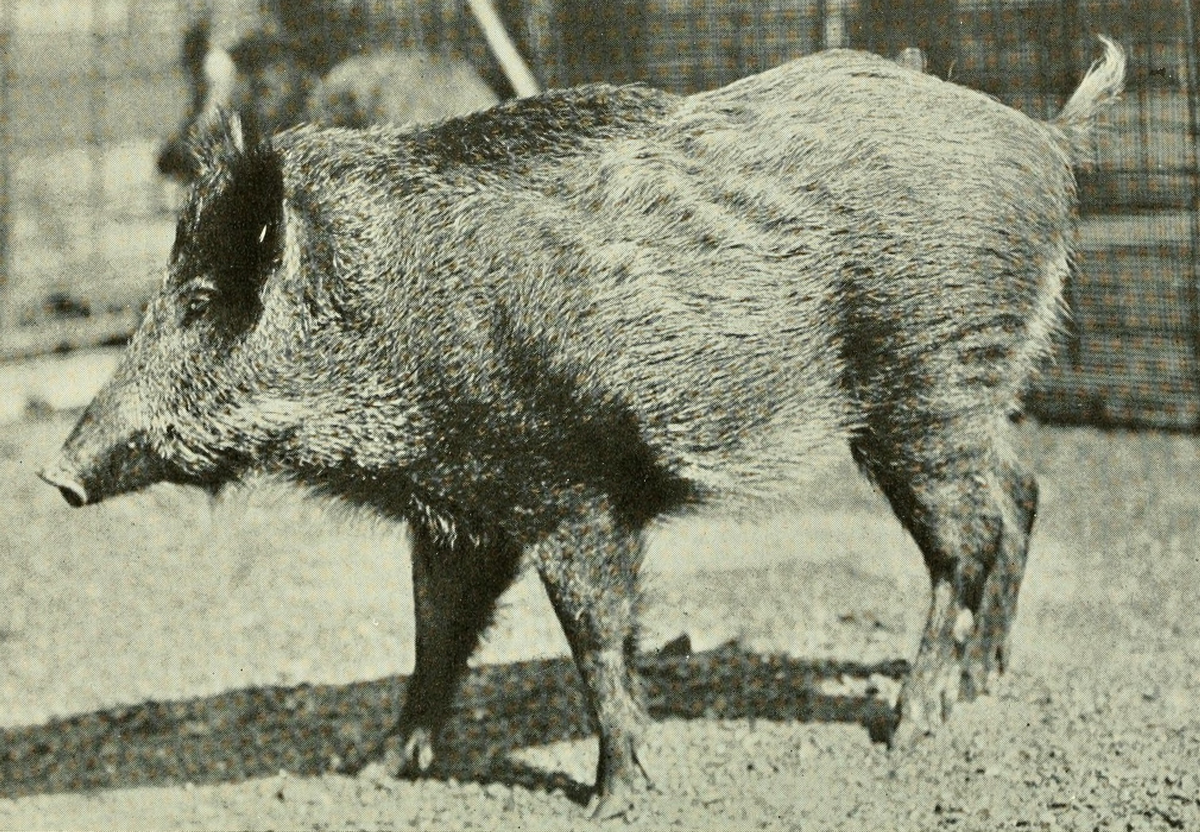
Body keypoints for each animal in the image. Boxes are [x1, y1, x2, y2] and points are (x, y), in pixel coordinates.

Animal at [44, 38, 1125, 818]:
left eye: (201, 299)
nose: (57, 474)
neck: (399, 318)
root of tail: (1046, 138)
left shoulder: (573, 491)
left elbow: (595, 636)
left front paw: (615, 797)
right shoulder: (458, 510)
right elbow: (434, 635)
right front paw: (375, 769)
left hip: (924, 386)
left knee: (968, 540)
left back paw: (909, 722)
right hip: (971, 391)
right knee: (1023, 496)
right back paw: (982, 683)